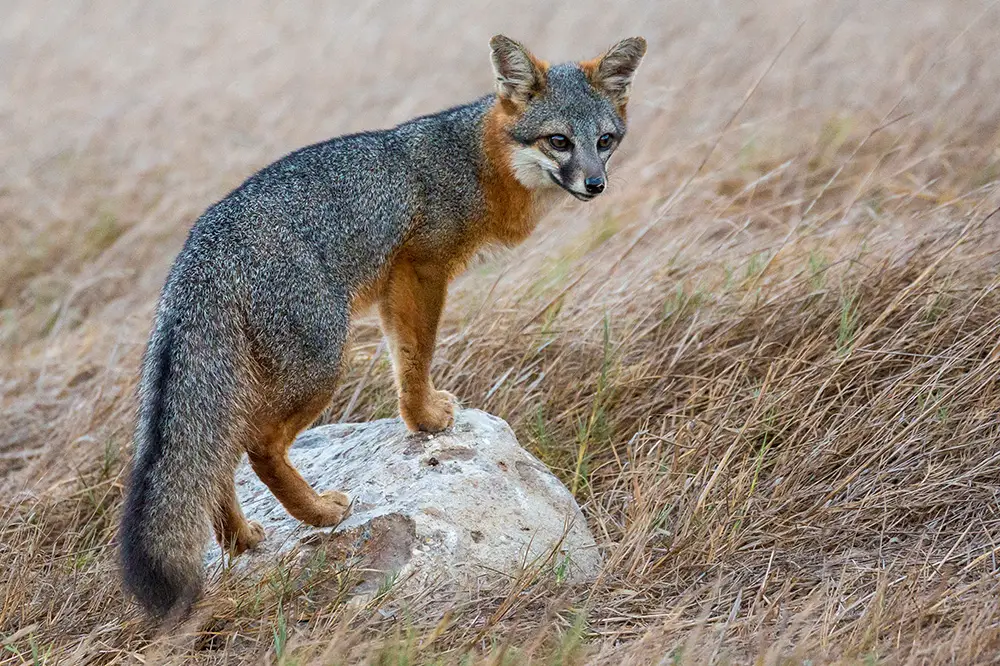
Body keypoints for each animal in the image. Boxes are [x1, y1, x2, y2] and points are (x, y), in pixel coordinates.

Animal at [119, 33, 648, 616]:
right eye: (559, 141)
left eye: (604, 140)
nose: (596, 184)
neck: (477, 161)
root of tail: (200, 248)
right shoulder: (422, 270)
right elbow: (418, 355)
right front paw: (427, 420)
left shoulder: (396, 288)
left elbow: (404, 357)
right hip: (322, 365)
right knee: (259, 447)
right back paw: (318, 512)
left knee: (218, 458)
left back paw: (240, 538)